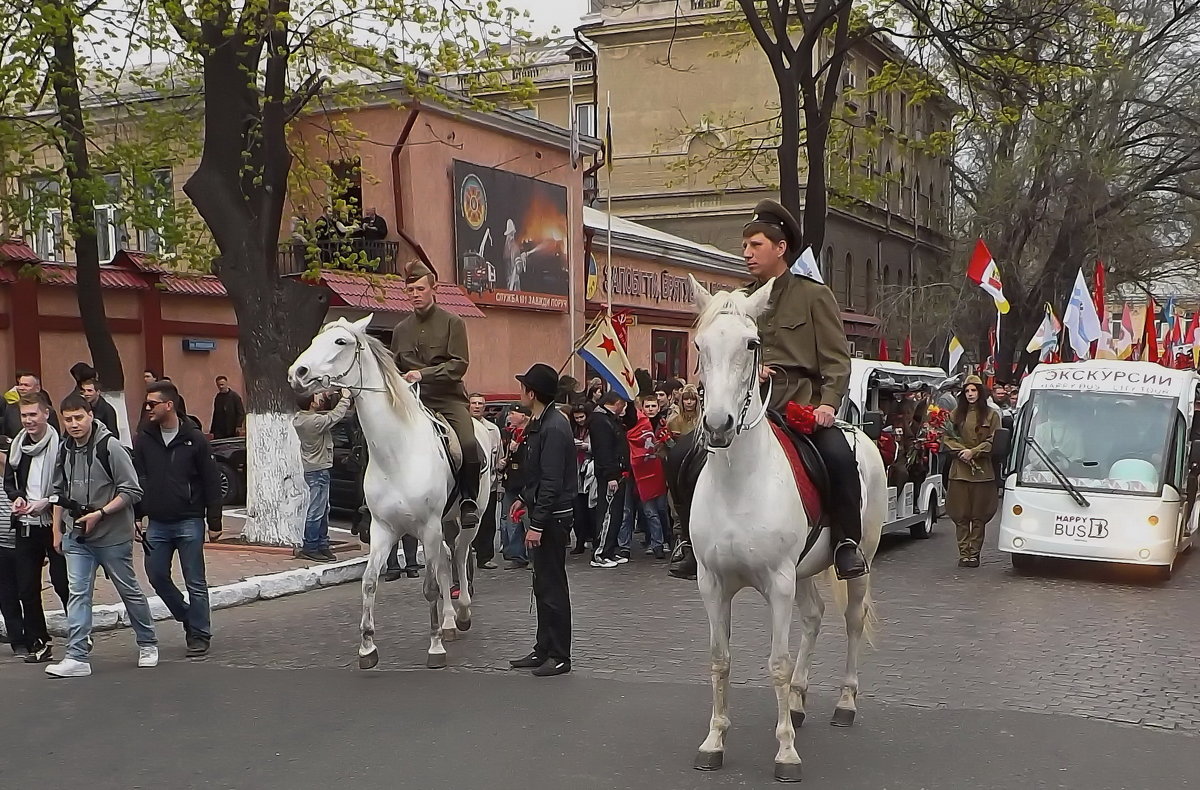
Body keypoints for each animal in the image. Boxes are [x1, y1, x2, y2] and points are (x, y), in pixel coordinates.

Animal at [290, 309, 492, 667]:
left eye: (340, 341)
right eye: (315, 339)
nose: (297, 373)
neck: (397, 451)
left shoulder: (427, 526)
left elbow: (429, 587)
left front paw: (435, 648)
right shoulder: (384, 529)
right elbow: (370, 581)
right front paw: (367, 647)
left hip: (469, 519)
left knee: (458, 555)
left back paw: (463, 614)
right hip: (441, 525)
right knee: (445, 560)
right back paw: (449, 622)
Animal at [686, 273, 892, 777]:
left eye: (751, 343)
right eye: (699, 344)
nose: (717, 425)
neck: (740, 481)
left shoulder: (777, 583)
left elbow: (776, 664)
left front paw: (785, 751)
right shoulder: (712, 584)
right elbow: (720, 661)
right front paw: (714, 742)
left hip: (860, 559)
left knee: (852, 620)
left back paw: (844, 703)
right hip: (802, 571)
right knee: (815, 616)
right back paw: (797, 702)